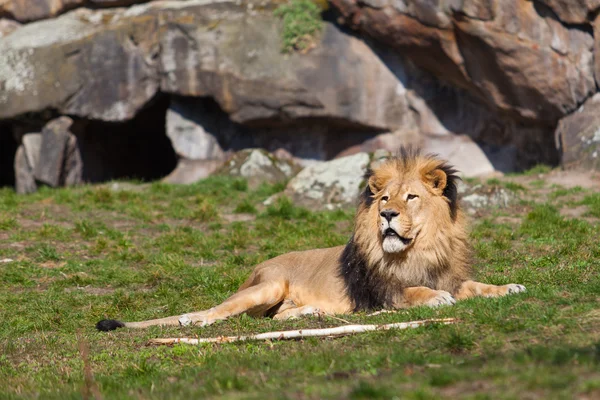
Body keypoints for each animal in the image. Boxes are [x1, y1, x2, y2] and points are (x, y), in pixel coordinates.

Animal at [95, 147, 524, 332]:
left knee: (277, 316)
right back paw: (193, 319)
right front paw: (434, 298)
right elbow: (412, 292)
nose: (386, 216)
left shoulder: (452, 275)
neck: (419, 249)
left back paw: (311, 313)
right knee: (222, 309)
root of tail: (258, 266)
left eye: (411, 197)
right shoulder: (380, 294)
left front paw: (510, 288)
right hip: (266, 287)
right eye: (385, 199)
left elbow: (477, 285)